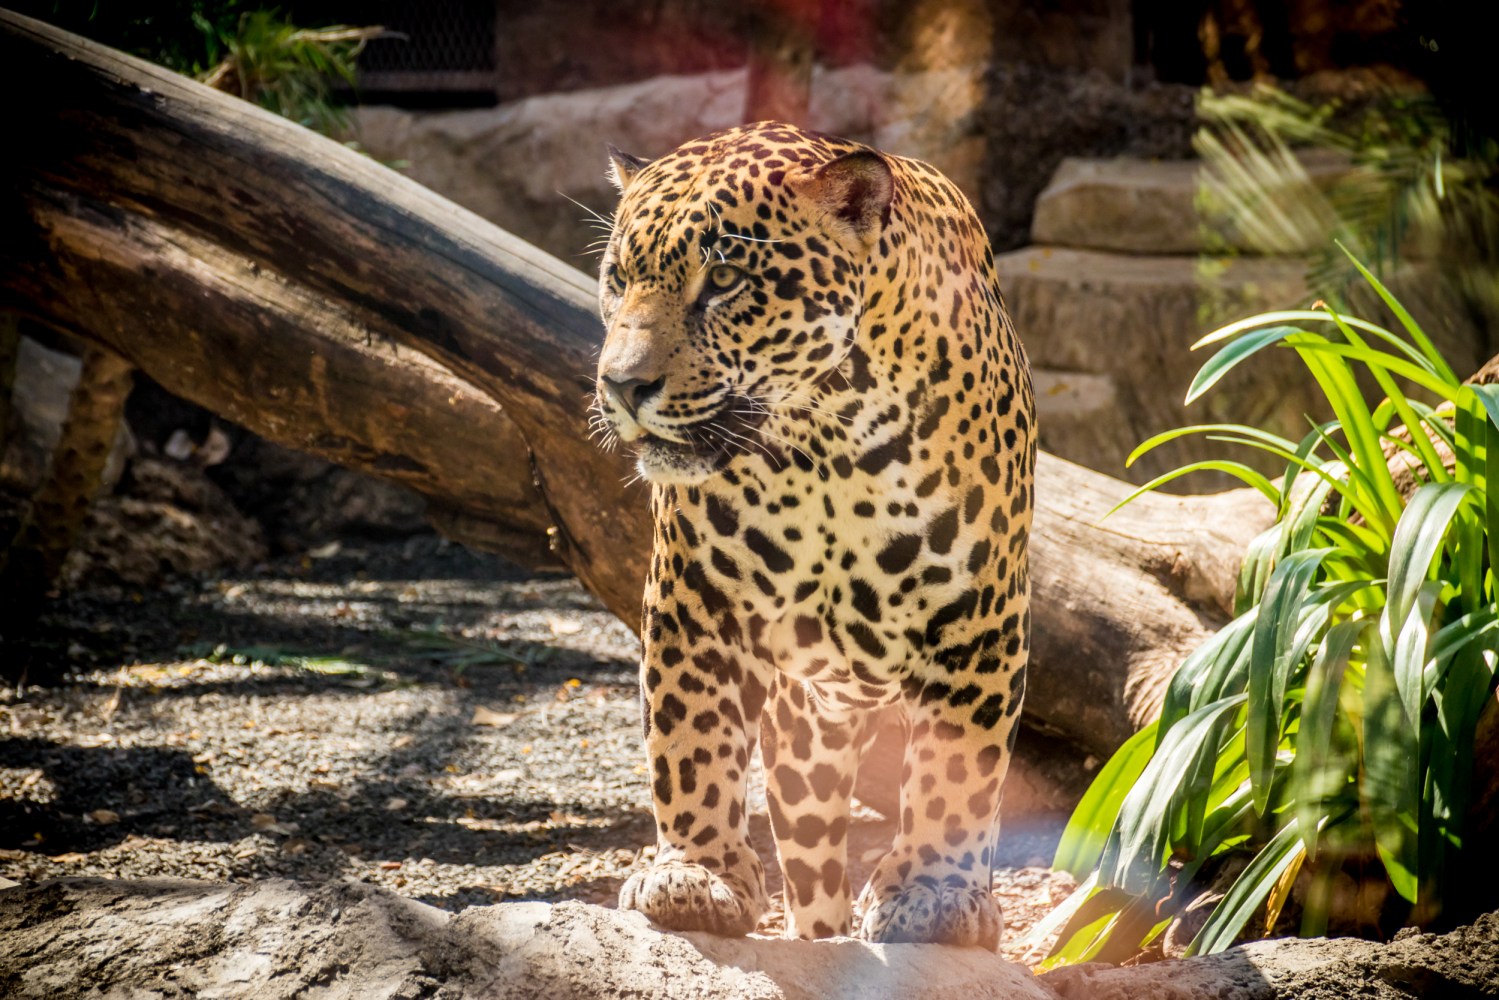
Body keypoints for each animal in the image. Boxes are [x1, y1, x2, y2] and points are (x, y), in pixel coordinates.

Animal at [592, 121, 1034, 949]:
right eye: (617, 278)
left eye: (723, 279)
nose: (622, 386)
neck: (824, 443)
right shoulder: (693, 598)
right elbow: (688, 743)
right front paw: (694, 874)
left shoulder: (980, 616)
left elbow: (956, 774)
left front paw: (932, 892)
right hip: (804, 739)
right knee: (811, 863)